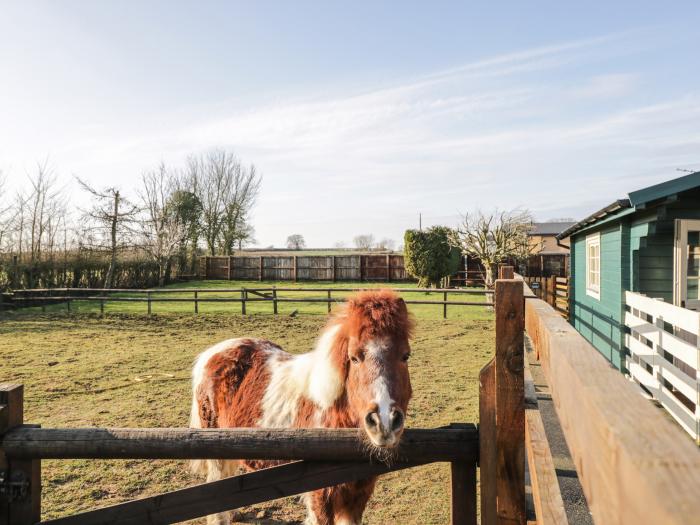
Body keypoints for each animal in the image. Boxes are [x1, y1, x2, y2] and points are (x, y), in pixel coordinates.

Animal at [189, 288, 412, 520]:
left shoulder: (357, 496)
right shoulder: (319, 497)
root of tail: (212, 353)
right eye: (354, 358)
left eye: (405, 356)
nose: (384, 422)